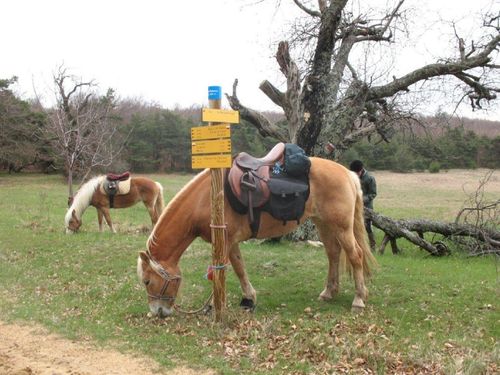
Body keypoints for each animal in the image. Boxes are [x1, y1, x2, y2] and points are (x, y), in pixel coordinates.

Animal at [136, 157, 376, 318]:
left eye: (147, 281)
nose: (157, 312)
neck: (206, 200)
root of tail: (348, 174)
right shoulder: (230, 243)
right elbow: (239, 268)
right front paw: (248, 299)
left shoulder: (225, 241)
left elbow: (223, 272)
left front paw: (218, 304)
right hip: (324, 224)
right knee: (333, 254)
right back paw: (329, 292)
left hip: (341, 227)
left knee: (355, 255)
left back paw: (359, 299)